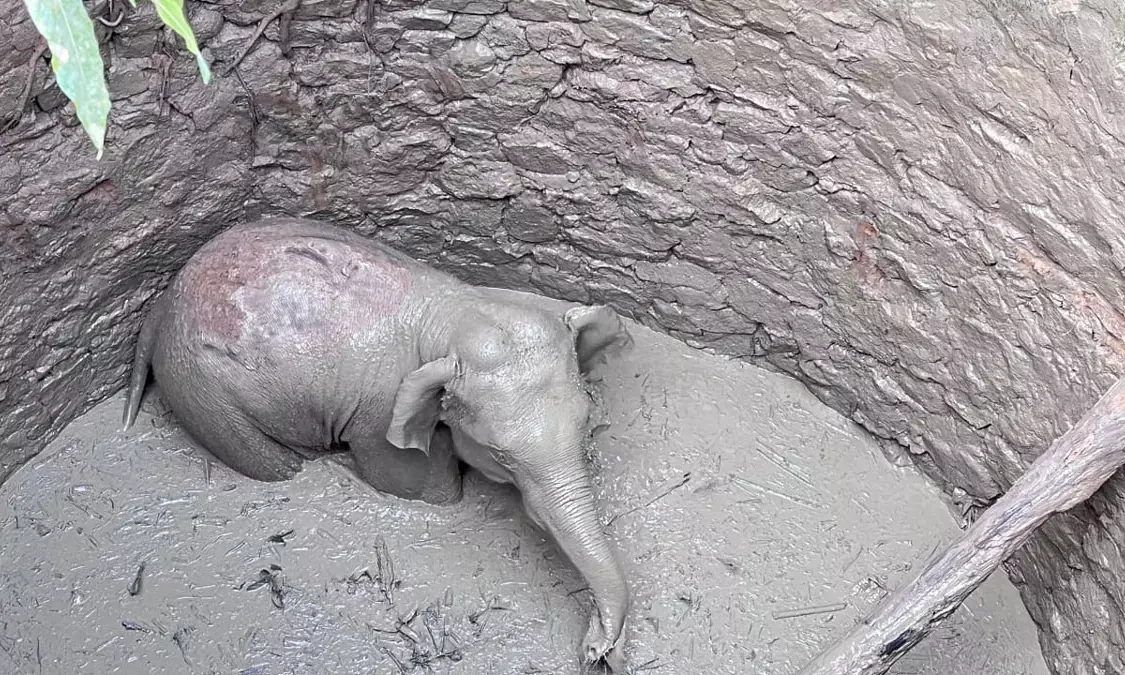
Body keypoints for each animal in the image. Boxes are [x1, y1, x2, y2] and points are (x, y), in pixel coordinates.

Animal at [121, 217, 632, 671]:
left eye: (586, 422)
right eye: (501, 456)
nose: (595, 650)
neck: (455, 311)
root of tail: (165, 302)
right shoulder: (379, 413)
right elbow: (424, 488)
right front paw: (358, 469)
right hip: (203, 394)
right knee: (276, 467)